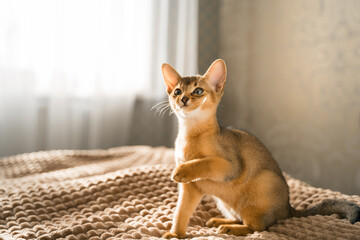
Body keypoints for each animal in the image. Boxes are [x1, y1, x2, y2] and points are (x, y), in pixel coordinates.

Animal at [160, 58, 360, 238]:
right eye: (177, 91)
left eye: (198, 91)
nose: (184, 99)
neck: (190, 136)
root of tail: (288, 208)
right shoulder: (190, 189)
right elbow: (180, 213)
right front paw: (175, 234)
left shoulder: (232, 166)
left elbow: (205, 162)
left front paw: (181, 170)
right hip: (224, 203)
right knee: (242, 219)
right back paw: (219, 221)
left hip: (262, 184)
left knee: (258, 227)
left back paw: (230, 228)